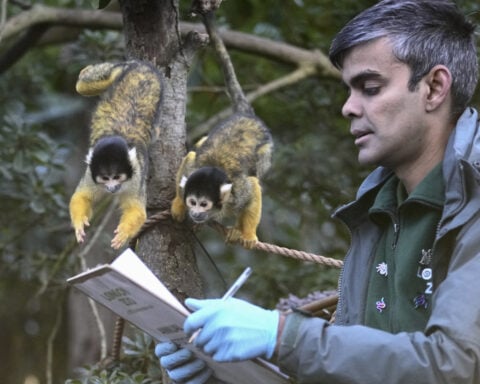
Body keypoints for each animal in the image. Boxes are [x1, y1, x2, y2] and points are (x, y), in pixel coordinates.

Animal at [69, 60, 163, 249]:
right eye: (106, 178)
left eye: (117, 177)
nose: (112, 188)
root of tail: (143, 66)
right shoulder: (91, 173)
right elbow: (81, 196)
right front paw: (80, 225)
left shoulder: (137, 174)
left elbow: (137, 210)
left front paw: (123, 234)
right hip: (121, 70)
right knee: (85, 85)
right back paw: (84, 73)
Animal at [171, 112, 272, 248]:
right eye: (192, 202)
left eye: (203, 204)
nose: (195, 213)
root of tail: (248, 117)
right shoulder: (191, 170)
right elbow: (190, 158)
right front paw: (179, 203)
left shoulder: (238, 192)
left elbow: (253, 187)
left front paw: (249, 235)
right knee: (196, 150)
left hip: (265, 153)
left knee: (255, 175)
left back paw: (237, 230)